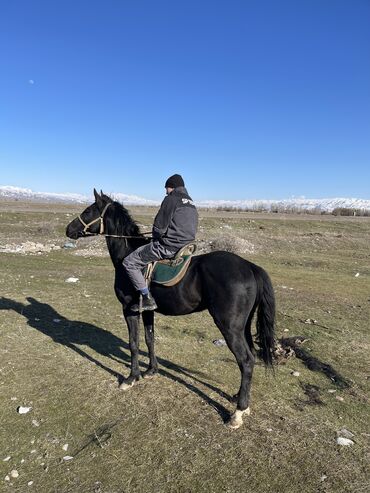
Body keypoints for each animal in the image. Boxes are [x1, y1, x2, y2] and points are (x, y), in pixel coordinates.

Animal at [66, 190, 274, 428]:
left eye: (88, 211)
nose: (68, 229)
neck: (126, 254)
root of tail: (249, 266)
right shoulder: (147, 310)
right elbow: (149, 339)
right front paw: (151, 371)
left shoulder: (129, 310)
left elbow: (134, 343)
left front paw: (131, 378)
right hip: (243, 326)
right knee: (250, 357)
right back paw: (239, 398)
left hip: (229, 326)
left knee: (245, 360)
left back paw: (238, 412)